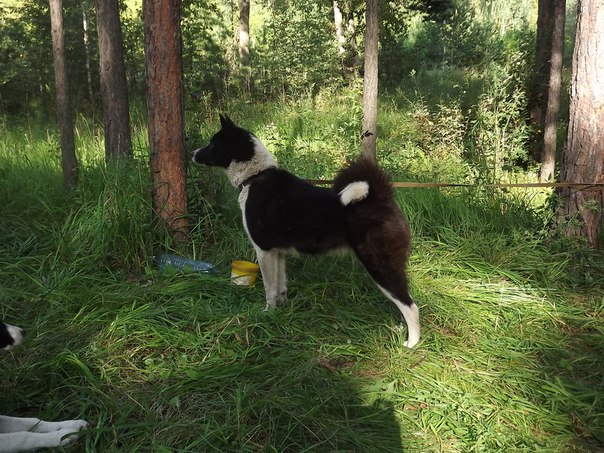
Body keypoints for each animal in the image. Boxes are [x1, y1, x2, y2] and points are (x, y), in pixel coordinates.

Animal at [192, 115, 420, 348]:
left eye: (212, 144)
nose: (193, 153)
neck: (255, 176)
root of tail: (380, 198)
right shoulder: (278, 253)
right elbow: (280, 286)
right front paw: (280, 309)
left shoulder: (264, 251)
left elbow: (269, 288)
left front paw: (267, 313)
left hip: (379, 265)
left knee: (410, 306)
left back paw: (412, 343)